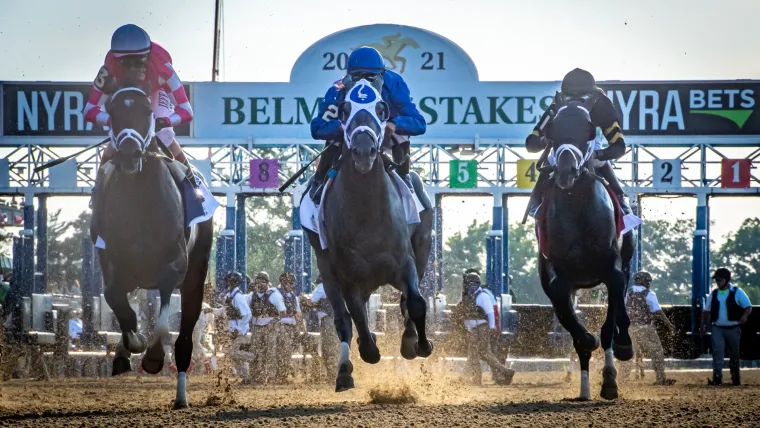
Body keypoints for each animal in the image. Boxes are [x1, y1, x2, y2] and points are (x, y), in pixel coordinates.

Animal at [95, 86, 215, 408]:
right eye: (113, 113)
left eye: (148, 111)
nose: (128, 154)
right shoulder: (113, 265)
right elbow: (118, 303)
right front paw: (131, 346)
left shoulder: (173, 267)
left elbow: (162, 326)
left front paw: (152, 358)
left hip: (196, 273)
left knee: (185, 339)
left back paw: (181, 397)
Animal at [304, 79, 434, 392]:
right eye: (344, 109)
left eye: (381, 108)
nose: (364, 152)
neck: (367, 214)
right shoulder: (347, 273)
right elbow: (355, 317)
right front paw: (369, 349)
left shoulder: (405, 262)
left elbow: (415, 302)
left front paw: (418, 344)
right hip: (327, 268)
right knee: (343, 320)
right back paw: (345, 371)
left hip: (423, 245)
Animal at [536, 99, 636, 402]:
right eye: (554, 129)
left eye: (588, 129)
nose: (566, 171)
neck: (576, 206)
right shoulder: (556, 276)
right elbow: (580, 335)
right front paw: (586, 344)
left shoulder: (611, 267)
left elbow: (608, 329)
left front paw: (610, 379)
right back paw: (583, 388)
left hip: (626, 261)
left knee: (622, 297)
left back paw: (624, 344)